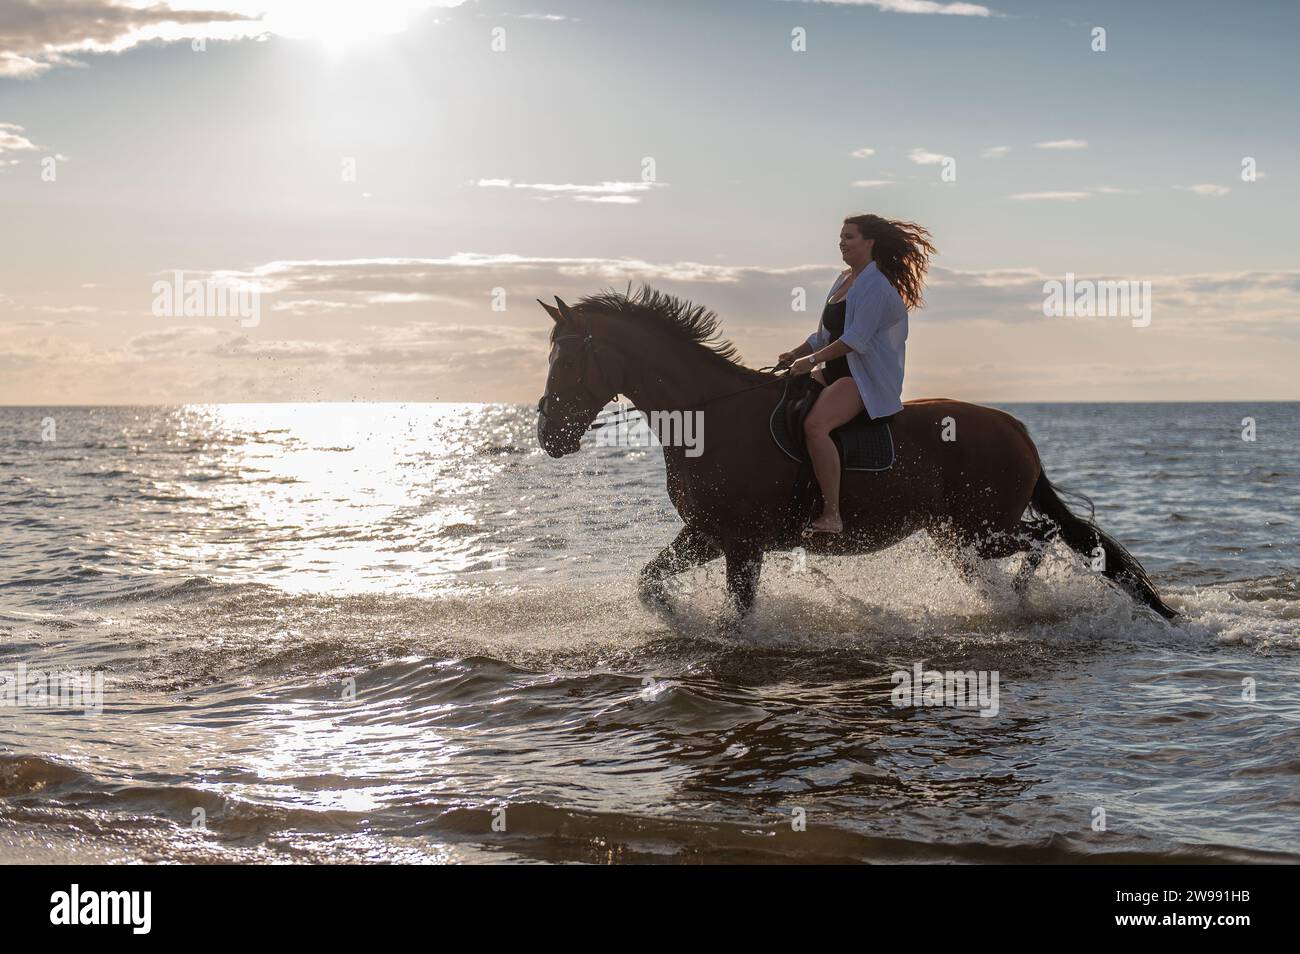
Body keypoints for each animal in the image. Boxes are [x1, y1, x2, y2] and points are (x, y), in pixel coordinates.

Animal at [534, 287, 1176, 622]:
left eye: (569, 359)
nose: (548, 434)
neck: (710, 415)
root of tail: (1016, 428)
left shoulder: (740, 541)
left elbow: (739, 614)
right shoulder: (707, 533)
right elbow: (649, 584)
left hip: (981, 527)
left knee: (1041, 538)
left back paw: (1016, 603)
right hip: (954, 532)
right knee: (1033, 542)